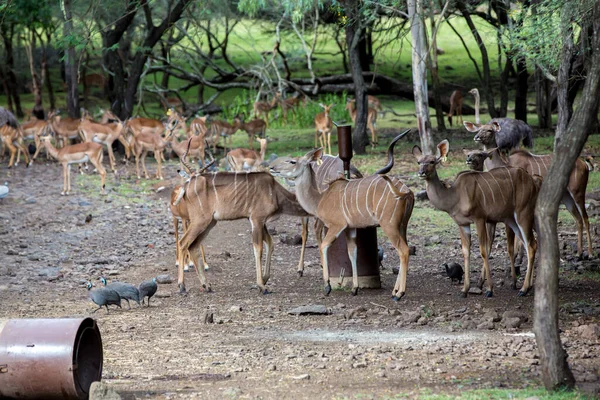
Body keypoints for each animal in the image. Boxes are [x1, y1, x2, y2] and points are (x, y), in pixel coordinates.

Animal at [274, 133, 414, 298]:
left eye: (292, 161)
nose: (273, 168)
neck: (320, 199)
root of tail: (406, 192)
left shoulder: (337, 225)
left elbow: (324, 246)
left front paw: (327, 286)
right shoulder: (350, 228)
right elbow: (352, 252)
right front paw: (354, 288)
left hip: (389, 225)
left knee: (403, 251)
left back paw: (399, 293)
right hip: (402, 225)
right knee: (405, 248)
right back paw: (394, 291)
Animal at [414, 141, 540, 296]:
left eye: (432, 161)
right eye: (419, 162)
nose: (421, 172)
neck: (455, 196)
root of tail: (533, 181)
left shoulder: (480, 218)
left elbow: (483, 250)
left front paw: (489, 289)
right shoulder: (463, 224)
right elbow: (466, 251)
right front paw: (464, 290)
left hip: (523, 213)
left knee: (531, 244)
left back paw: (523, 289)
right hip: (512, 220)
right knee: (529, 244)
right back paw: (526, 286)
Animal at [464, 148, 592, 258]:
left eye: (480, 154)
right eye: (468, 154)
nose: (469, 159)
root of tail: (585, 165)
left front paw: (518, 256)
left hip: (578, 193)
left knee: (585, 218)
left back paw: (590, 253)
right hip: (566, 197)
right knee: (578, 219)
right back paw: (579, 253)